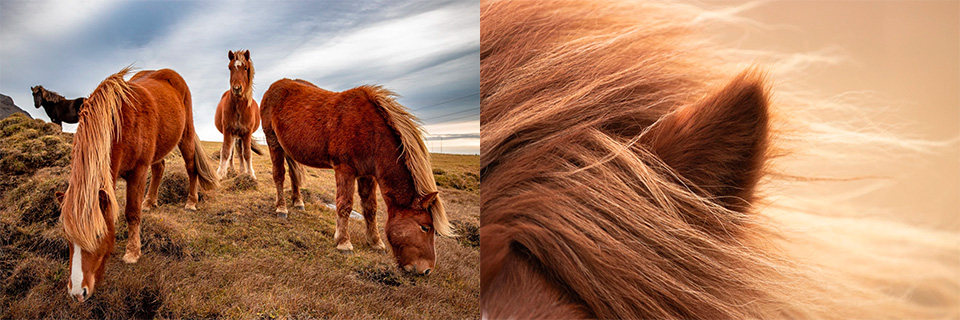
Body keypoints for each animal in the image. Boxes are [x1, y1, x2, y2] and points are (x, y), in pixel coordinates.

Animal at [56, 67, 218, 302]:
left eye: (98, 235)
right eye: (67, 236)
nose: (77, 292)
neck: (118, 124)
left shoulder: (138, 172)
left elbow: (132, 213)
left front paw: (132, 253)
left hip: (185, 135)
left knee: (191, 168)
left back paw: (191, 202)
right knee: (159, 169)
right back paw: (149, 202)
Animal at [216, 49, 262, 179]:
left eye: (245, 68)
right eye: (230, 68)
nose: (236, 88)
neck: (238, 108)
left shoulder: (246, 133)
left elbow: (247, 153)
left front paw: (250, 174)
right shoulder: (228, 131)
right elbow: (226, 152)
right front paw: (220, 174)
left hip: (240, 136)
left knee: (240, 152)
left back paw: (242, 170)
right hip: (233, 135)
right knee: (232, 152)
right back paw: (231, 169)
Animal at [258, 78, 454, 276]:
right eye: (425, 227)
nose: (427, 270)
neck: (371, 132)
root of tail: (275, 86)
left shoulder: (367, 175)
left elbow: (370, 209)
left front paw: (376, 243)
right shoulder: (345, 170)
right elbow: (344, 205)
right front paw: (344, 243)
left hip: (289, 149)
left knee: (294, 175)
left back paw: (298, 202)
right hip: (274, 142)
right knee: (279, 176)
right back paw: (281, 208)